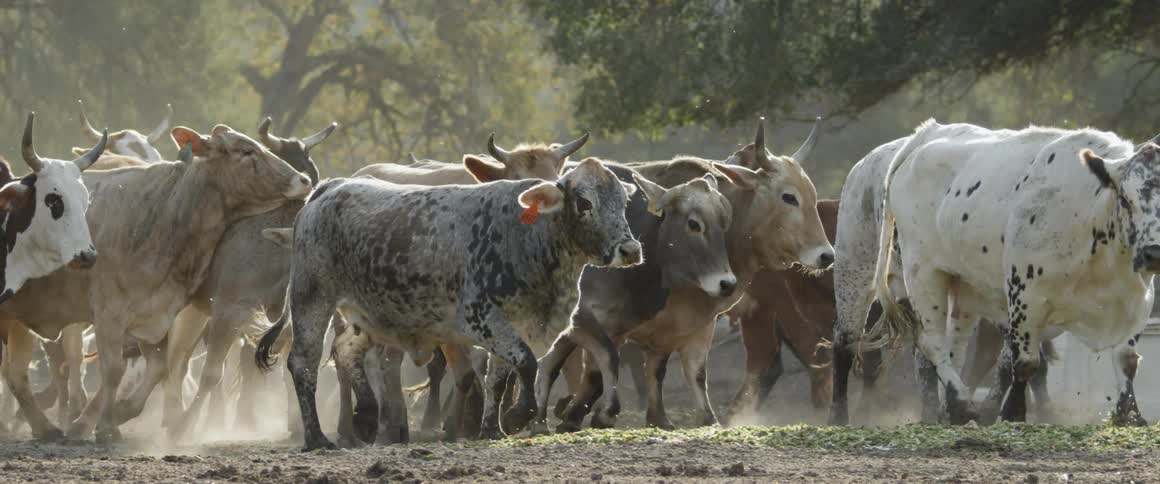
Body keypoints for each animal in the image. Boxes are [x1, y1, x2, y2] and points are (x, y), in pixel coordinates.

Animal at [0, 122, 312, 442]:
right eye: (246, 151)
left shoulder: (158, 311)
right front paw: (108, 426)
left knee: (19, 373)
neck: (166, 211)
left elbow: (161, 365)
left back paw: (48, 424)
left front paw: (126, 412)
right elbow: (116, 369)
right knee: (52, 366)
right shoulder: (113, 312)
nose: (304, 180)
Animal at [255, 158, 642, 451]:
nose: (631, 250)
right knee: (303, 364)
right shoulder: (480, 318)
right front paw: (519, 414)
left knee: (346, 351)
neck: (529, 235)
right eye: (584, 203)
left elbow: (499, 377)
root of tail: (330, 188)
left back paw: (365, 416)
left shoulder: (513, 323)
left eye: (623, 204)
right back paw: (317, 438)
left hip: (365, 314)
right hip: (312, 298)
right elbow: (525, 362)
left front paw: (492, 428)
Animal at [533, 119, 835, 432]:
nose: (826, 255)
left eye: (811, 195)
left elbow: (682, 372)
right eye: (789, 197)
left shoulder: (691, 324)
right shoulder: (611, 320)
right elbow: (593, 368)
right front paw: (576, 415)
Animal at [865, 120, 1158, 425]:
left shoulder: (1140, 299)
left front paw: (1130, 414)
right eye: (1126, 199)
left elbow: (1127, 359)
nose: (1154, 253)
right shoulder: (1025, 292)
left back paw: (952, 408)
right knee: (931, 343)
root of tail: (928, 132)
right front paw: (1013, 412)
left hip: (963, 288)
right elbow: (1025, 361)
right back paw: (961, 404)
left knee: (955, 347)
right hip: (923, 275)